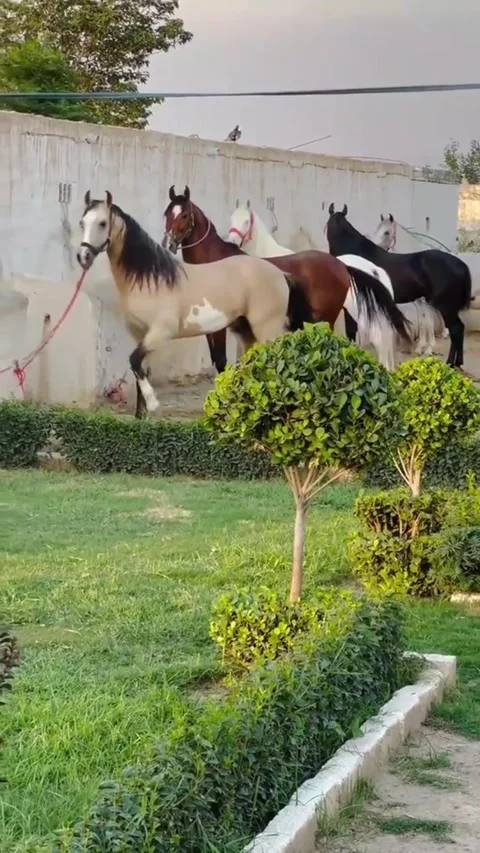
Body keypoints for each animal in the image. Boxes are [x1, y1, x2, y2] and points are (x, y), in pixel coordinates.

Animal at [77, 191, 312, 418]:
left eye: (102, 223)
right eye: (82, 222)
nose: (83, 256)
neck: (151, 280)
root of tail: (281, 274)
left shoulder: (162, 331)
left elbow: (134, 360)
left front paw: (153, 404)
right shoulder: (140, 334)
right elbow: (140, 369)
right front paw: (140, 415)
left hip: (266, 329)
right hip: (246, 331)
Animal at [163, 186, 411, 371]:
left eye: (184, 214)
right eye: (167, 214)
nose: (169, 243)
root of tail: (342, 265)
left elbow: (222, 361)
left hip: (331, 318)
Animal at [326, 203, 472, 368]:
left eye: (387, 232)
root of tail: (460, 264)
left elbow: (351, 331)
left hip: (445, 306)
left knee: (456, 330)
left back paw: (450, 363)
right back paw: (457, 362)